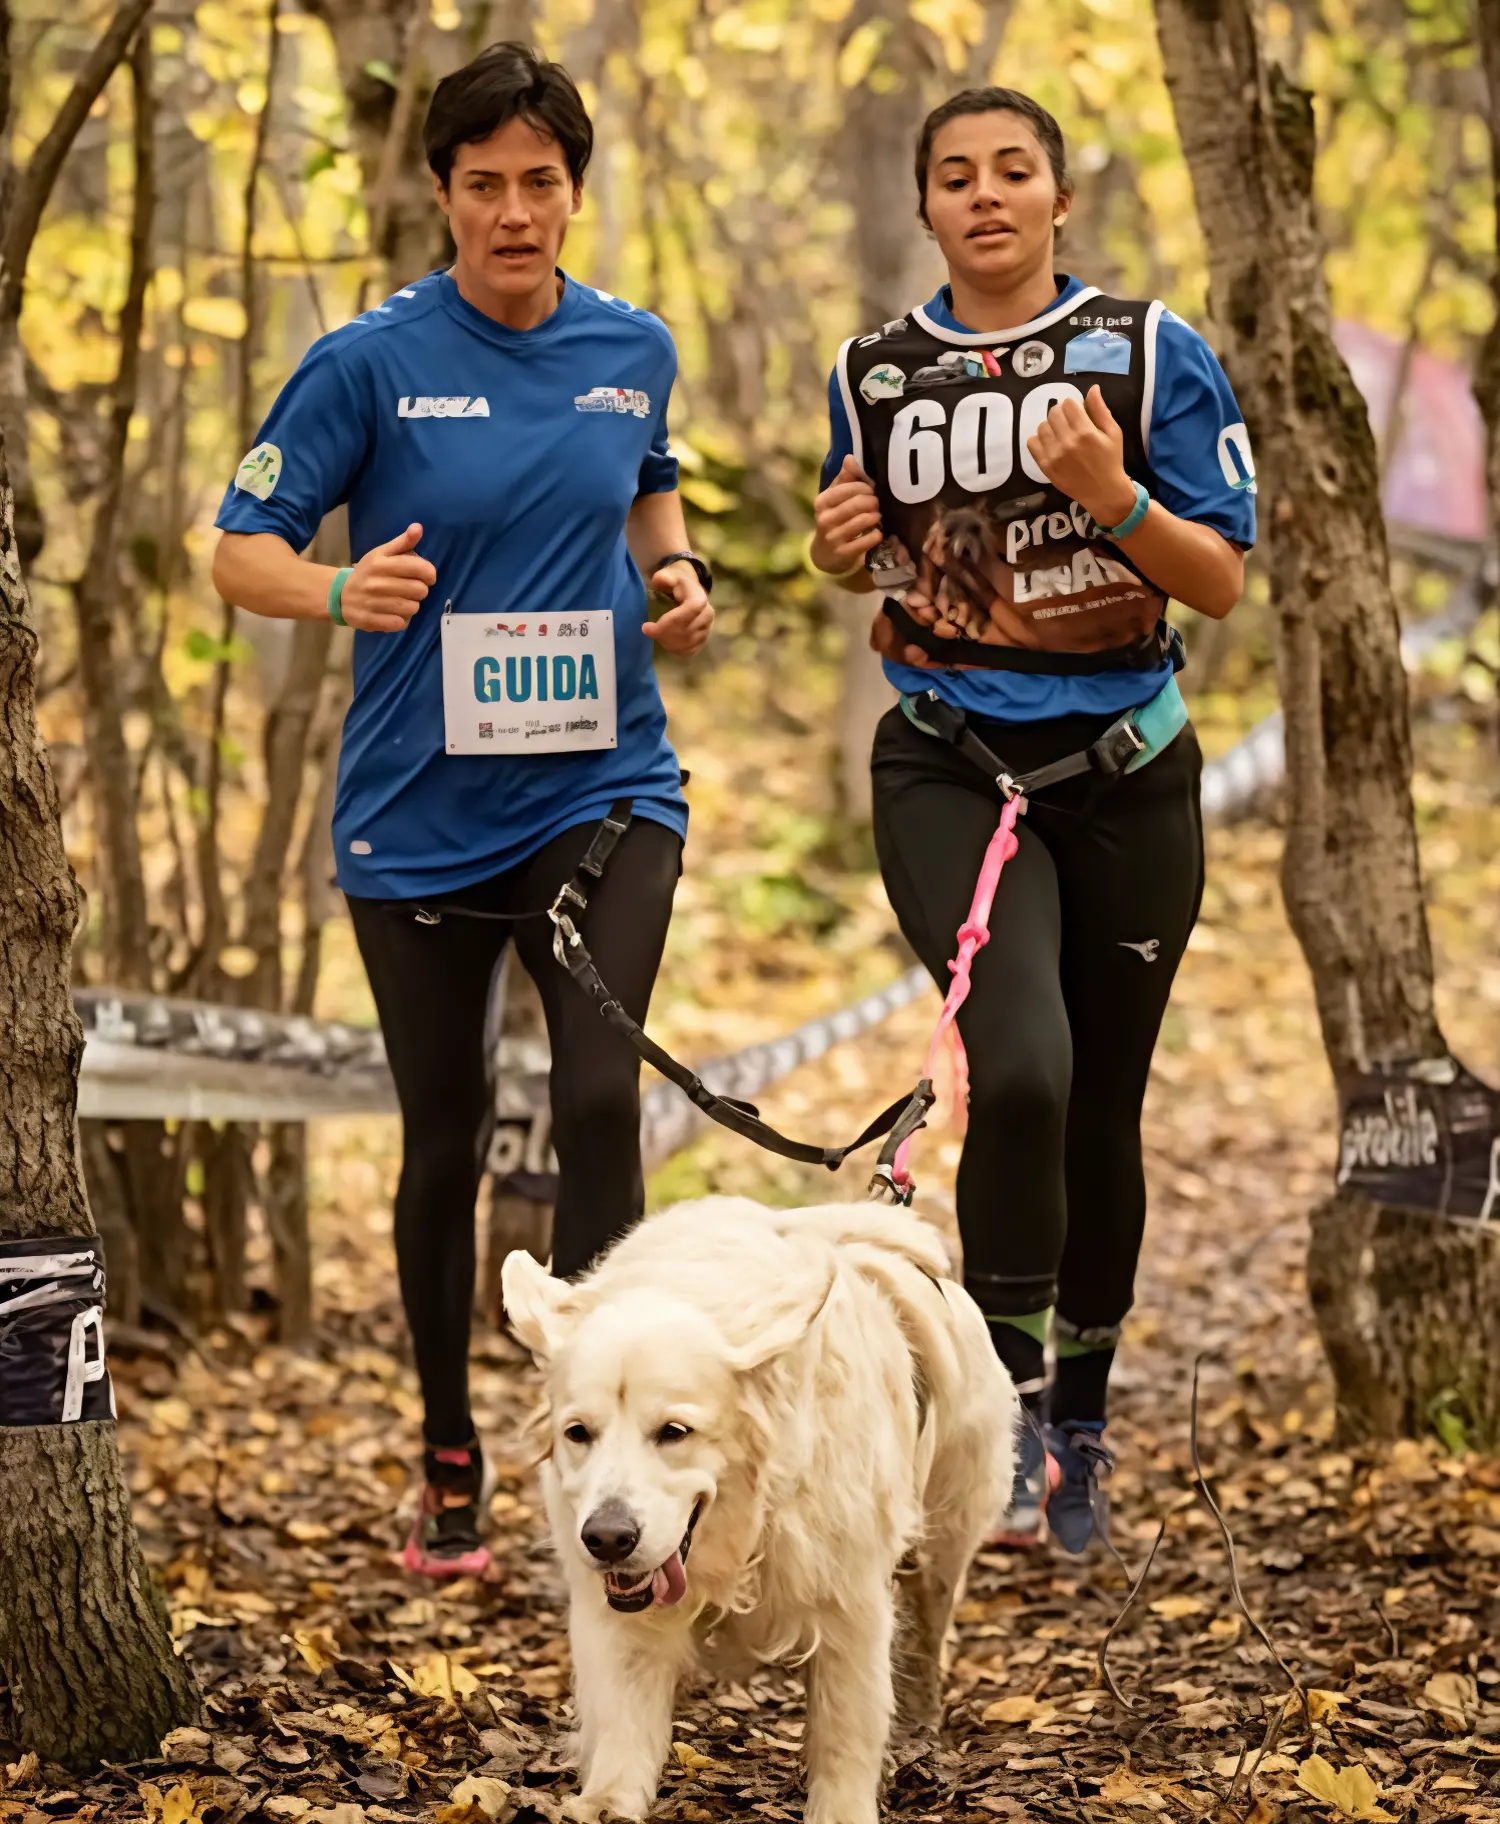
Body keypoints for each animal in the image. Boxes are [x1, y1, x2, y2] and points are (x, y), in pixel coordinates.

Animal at [503, 1196, 1021, 1824]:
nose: (607, 1538)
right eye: (577, 1432)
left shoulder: (849, 1602)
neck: (745, 1523)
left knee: (927, 1626)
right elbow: (625, 1716)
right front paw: (607, 1800)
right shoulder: (622, 1614)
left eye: (675, 1432)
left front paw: (841, 1809)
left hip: (944, 1541)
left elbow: (847, 1727)